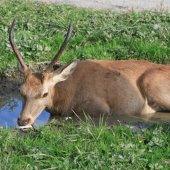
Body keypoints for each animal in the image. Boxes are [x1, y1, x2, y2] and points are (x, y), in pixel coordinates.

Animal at [9, 19, 170, 127]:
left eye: (44, 93)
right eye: (21, 91)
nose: (23, 120)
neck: (65, 97)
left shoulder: (100, 109)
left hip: (152, 83)